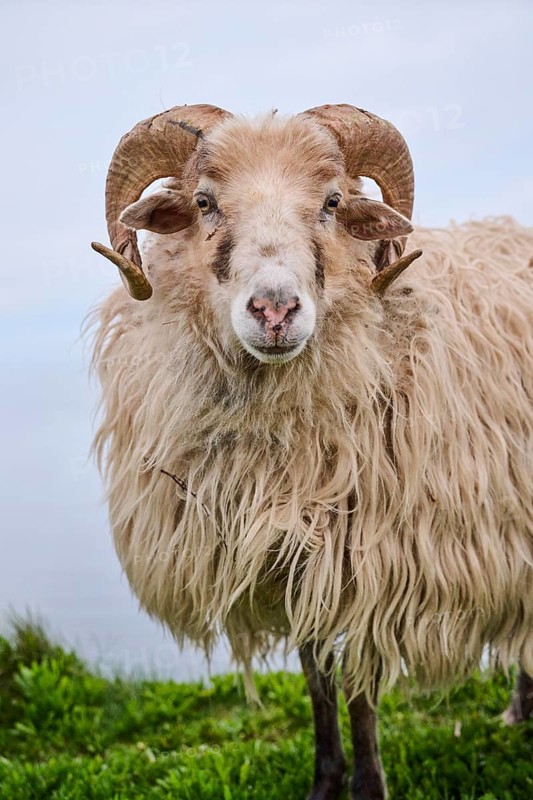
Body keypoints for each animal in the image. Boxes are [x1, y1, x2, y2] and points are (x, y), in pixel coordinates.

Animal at [89, 103, 533, 800]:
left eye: (331, 202)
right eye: (204, 202)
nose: (274, 310)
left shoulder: (370, 567)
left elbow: (357, 691)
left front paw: (369, 786)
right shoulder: (290, 562)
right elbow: (316, 682)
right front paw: (325, 781)